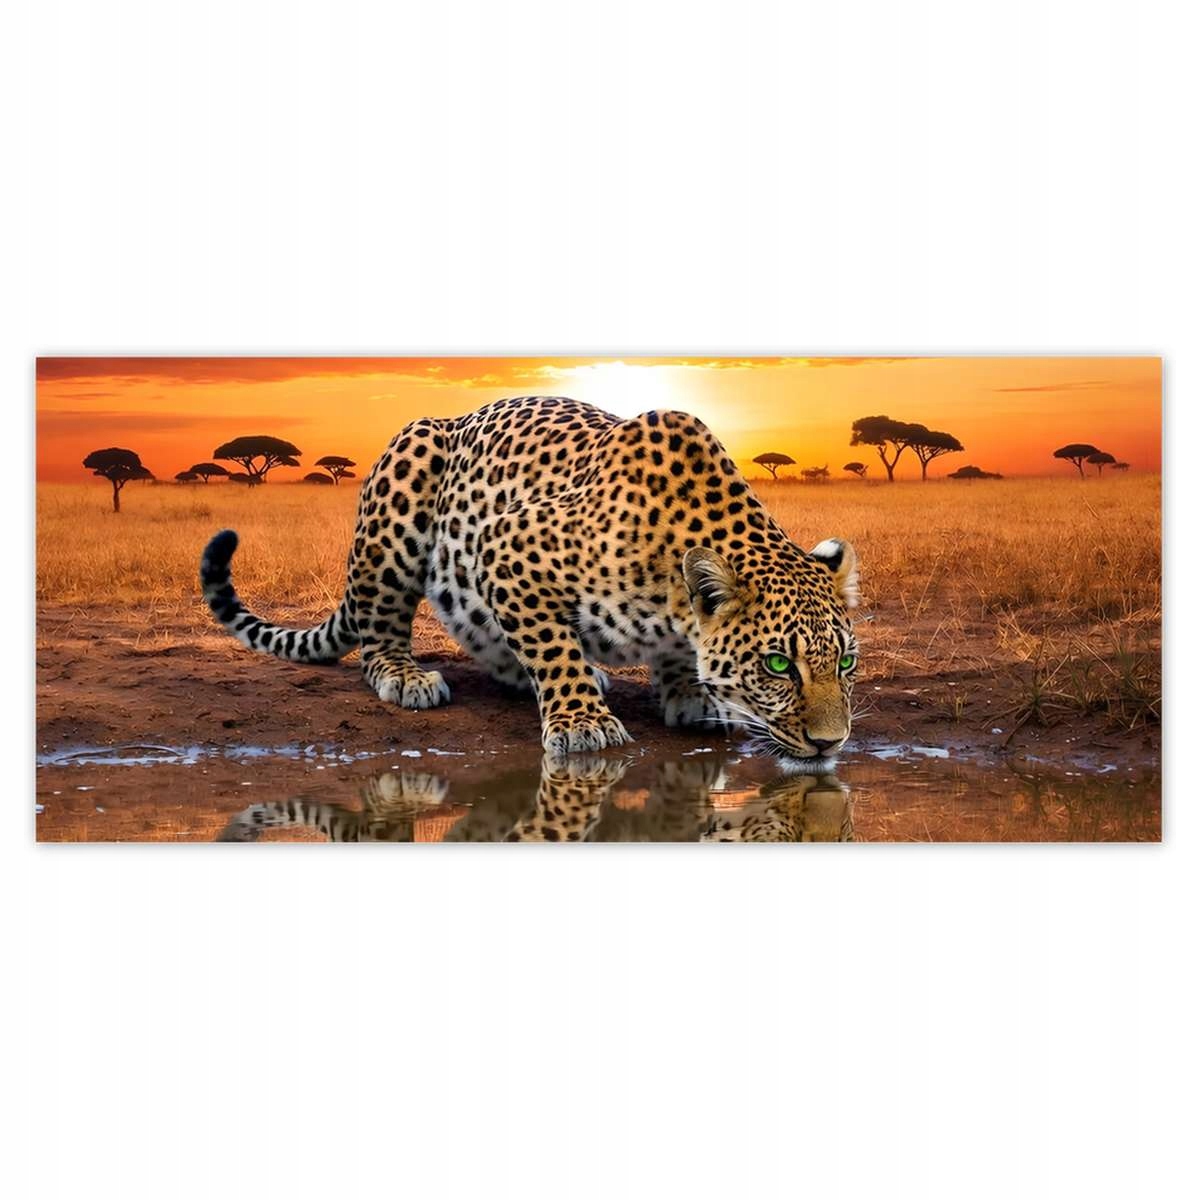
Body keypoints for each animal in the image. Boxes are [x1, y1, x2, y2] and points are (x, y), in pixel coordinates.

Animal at [200, 395, 860, 763]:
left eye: (847, 662)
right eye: (778, 665)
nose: (832, 745)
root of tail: (458, 415)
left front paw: (690, 695)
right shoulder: (506, 547)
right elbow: (553, 649)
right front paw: (584, 723)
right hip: (404, 490)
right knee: (379, 630)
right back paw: (408, 677)